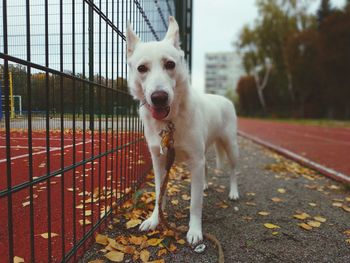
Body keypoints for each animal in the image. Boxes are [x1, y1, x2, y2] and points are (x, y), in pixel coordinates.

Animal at [125, 17, 238, 246]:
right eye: (142, 68)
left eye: (170, 64)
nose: (159, 97)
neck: (169, 122)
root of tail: (224, 99)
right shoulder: (159, 161)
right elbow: (159, 194)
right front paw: (155, 220)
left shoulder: (195, 159)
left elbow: (195, 204)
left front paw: (194, 230)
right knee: (206, 170)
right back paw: (204, 185)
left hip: (230, 146)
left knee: (232, 170)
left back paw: (233, 192)